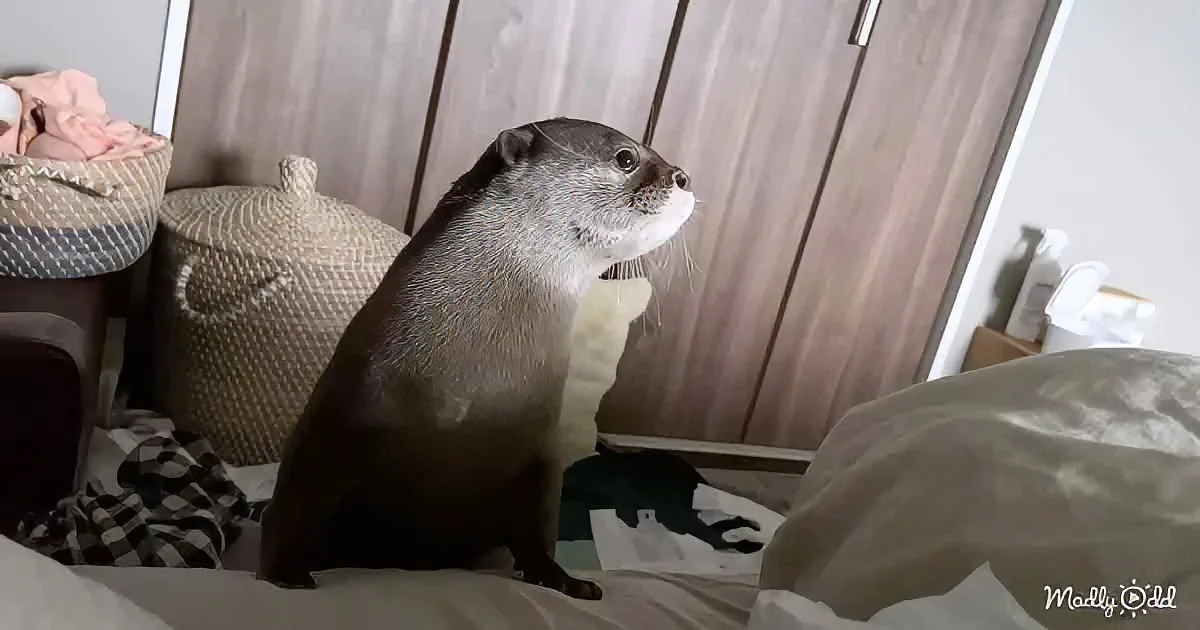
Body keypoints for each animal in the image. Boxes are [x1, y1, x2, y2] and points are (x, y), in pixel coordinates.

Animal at [258, 118, 694, 600]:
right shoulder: (332, 427)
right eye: (626, 157)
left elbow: (539, 531)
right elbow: (296, 508)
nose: (683, 177)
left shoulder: (542, 455)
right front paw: (286, 574)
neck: (463, 396)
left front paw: (567, 582)